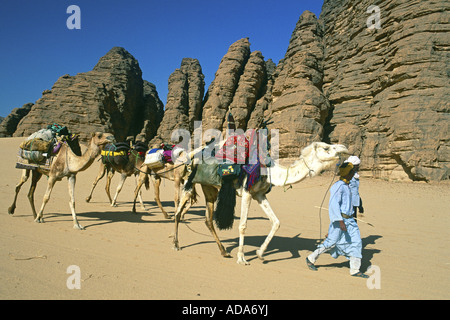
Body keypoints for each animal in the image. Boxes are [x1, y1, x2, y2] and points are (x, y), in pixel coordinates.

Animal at [171, 141, 348, 264]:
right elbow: (243, 225)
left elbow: (276, 222)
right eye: (326, 148)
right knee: (178, 212)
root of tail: (192, 154)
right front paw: (242, 258)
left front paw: (260, 254)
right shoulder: (247, 192)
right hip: (191, 181)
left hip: (210, 188)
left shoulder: (260, 194)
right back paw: (176, 244)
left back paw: (224, 251)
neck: (270, 172)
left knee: (208, 220)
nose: (344, 148)